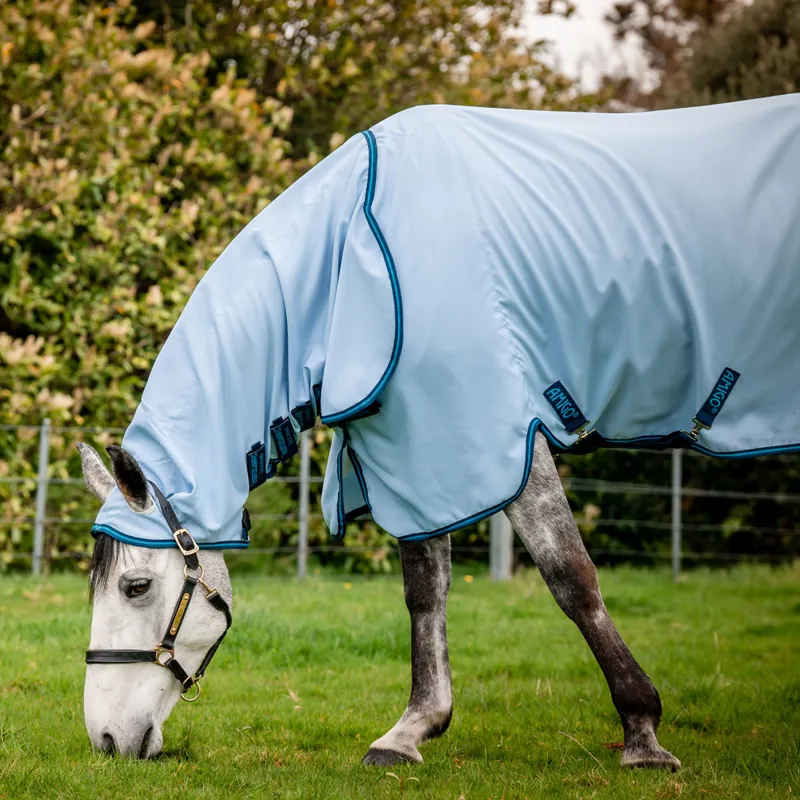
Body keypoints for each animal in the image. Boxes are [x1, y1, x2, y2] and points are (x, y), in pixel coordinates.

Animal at [79, 95, 800, 768]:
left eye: (135, 586)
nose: (106, 740)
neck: (358, 245)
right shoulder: (420, 452)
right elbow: (425, 593)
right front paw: (412, 729)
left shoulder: (501, 438)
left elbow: (571, 577)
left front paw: (643, 733)